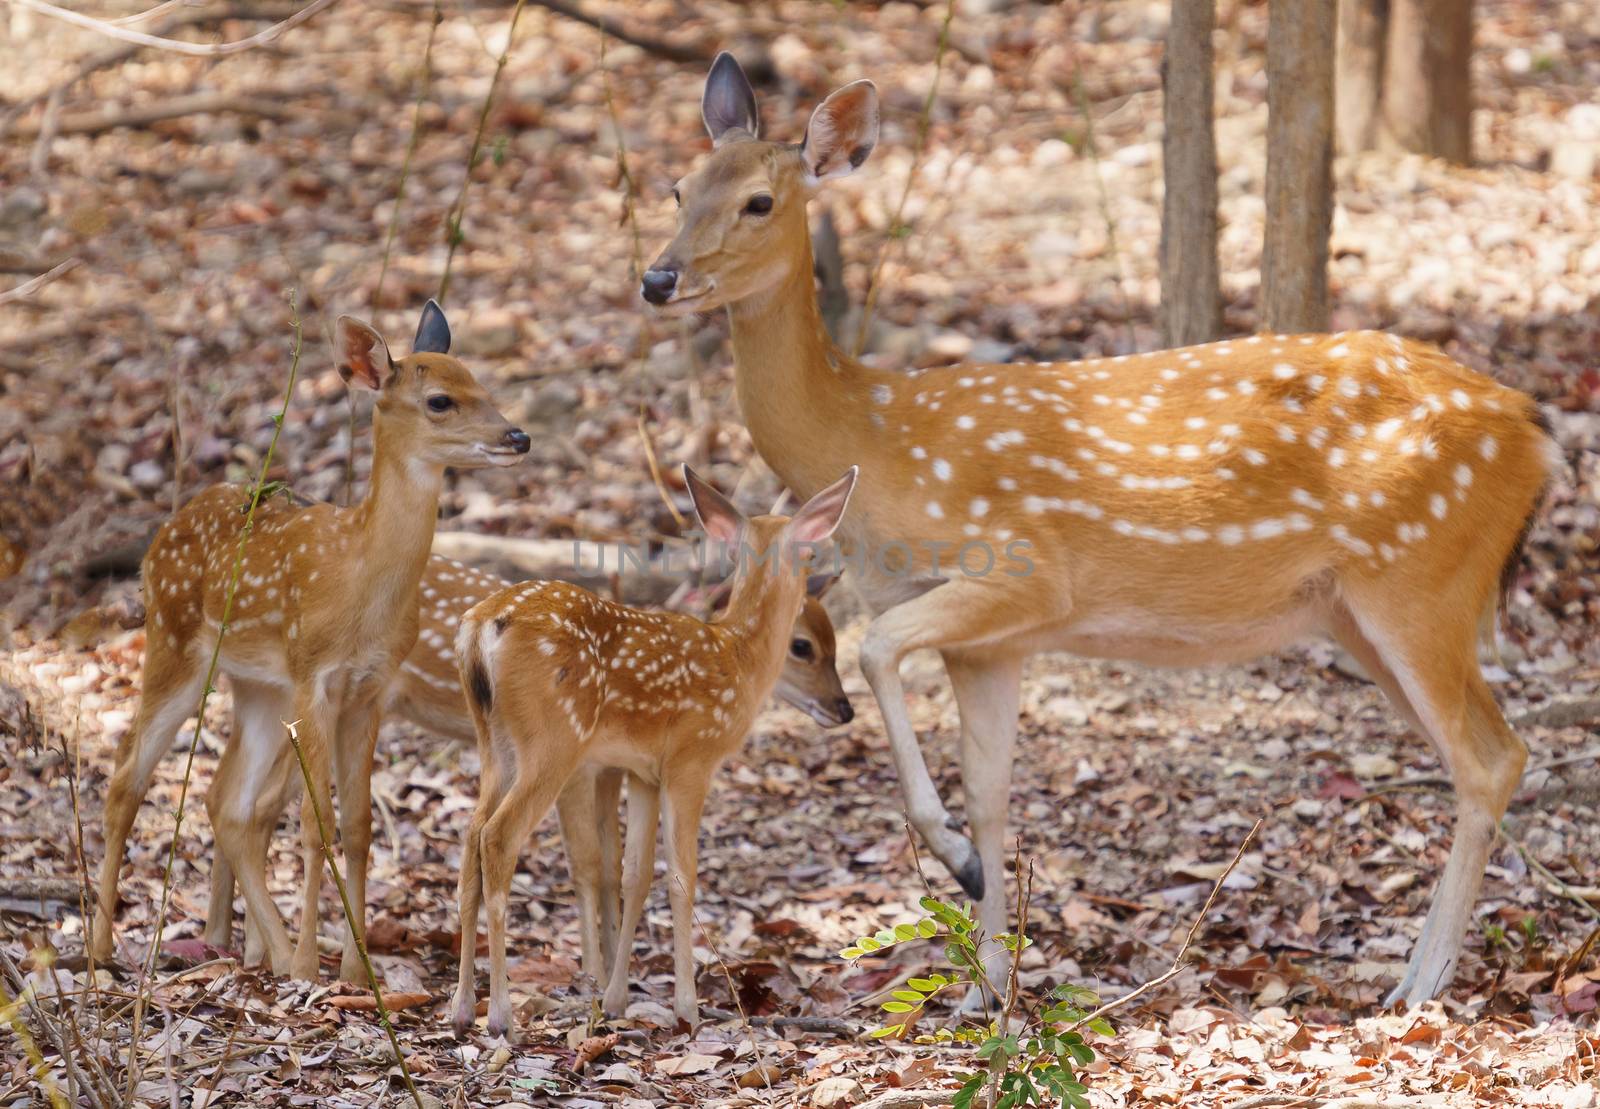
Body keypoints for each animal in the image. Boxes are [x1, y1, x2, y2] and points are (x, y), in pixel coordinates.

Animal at [93, 302, 531, 979]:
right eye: (439, 400)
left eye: (481, 384)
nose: (518, 437)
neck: (358, 582)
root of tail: (164, 529)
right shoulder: (314, 674)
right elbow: (313, 820)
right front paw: (308, 966)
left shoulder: (368, 690)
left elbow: (357, 824)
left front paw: (354, 969)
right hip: (174, 643)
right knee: (126, 776)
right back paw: (101, 950)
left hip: (257, 687)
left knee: (228, 801)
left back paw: (255, 949)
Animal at [204, 553, 857, 979]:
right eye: (803, 645)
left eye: (834, 638)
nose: (844, 708)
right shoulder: (594, 768)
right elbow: (593, 863)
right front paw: (600, 980)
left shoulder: (618, 771)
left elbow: (614, 864)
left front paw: (611, 975)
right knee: (266, 805)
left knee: (246, 801)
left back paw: (248, 949)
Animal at [451, 464, 857, 1030]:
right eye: (805, 646)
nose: (846, 709)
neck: (739, 660)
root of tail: (481, 626)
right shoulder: (692, 760)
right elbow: (682, 878)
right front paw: (687, 1005)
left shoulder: (644, 772)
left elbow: (634, 875)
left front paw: (617, 999)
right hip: (554, 739)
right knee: (497, 837)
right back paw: (501, 1015)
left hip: (493, 740)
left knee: (470, 838)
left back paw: (461, 1007)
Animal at [640, 52, 1561, 1004]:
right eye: (677, 189)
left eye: (759, 201)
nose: (658, 279)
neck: (875, 437)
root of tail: (1535, 432)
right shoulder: (991, 644)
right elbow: (992, 790)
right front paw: (985, 988)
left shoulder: (1026, 573)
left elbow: (878, 650)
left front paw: (957, 867)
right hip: (1358, 611)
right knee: (1484, 757)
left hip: (1422, 582)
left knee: (1493, 757)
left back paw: (1421, 986)